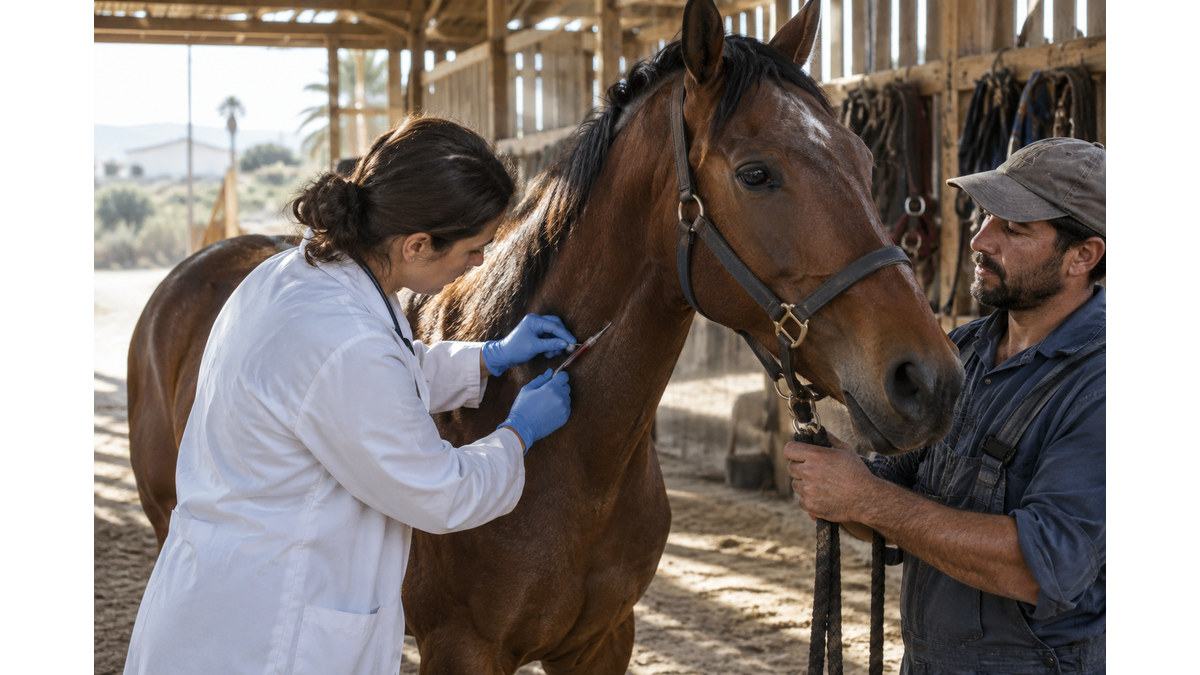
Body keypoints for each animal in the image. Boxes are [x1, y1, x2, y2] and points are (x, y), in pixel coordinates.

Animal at [127, 0, 965, 671]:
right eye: (758, 173)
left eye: (863, 157)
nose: (929, 379)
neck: (574, 465)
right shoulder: (464, 649)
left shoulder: (602, 641)